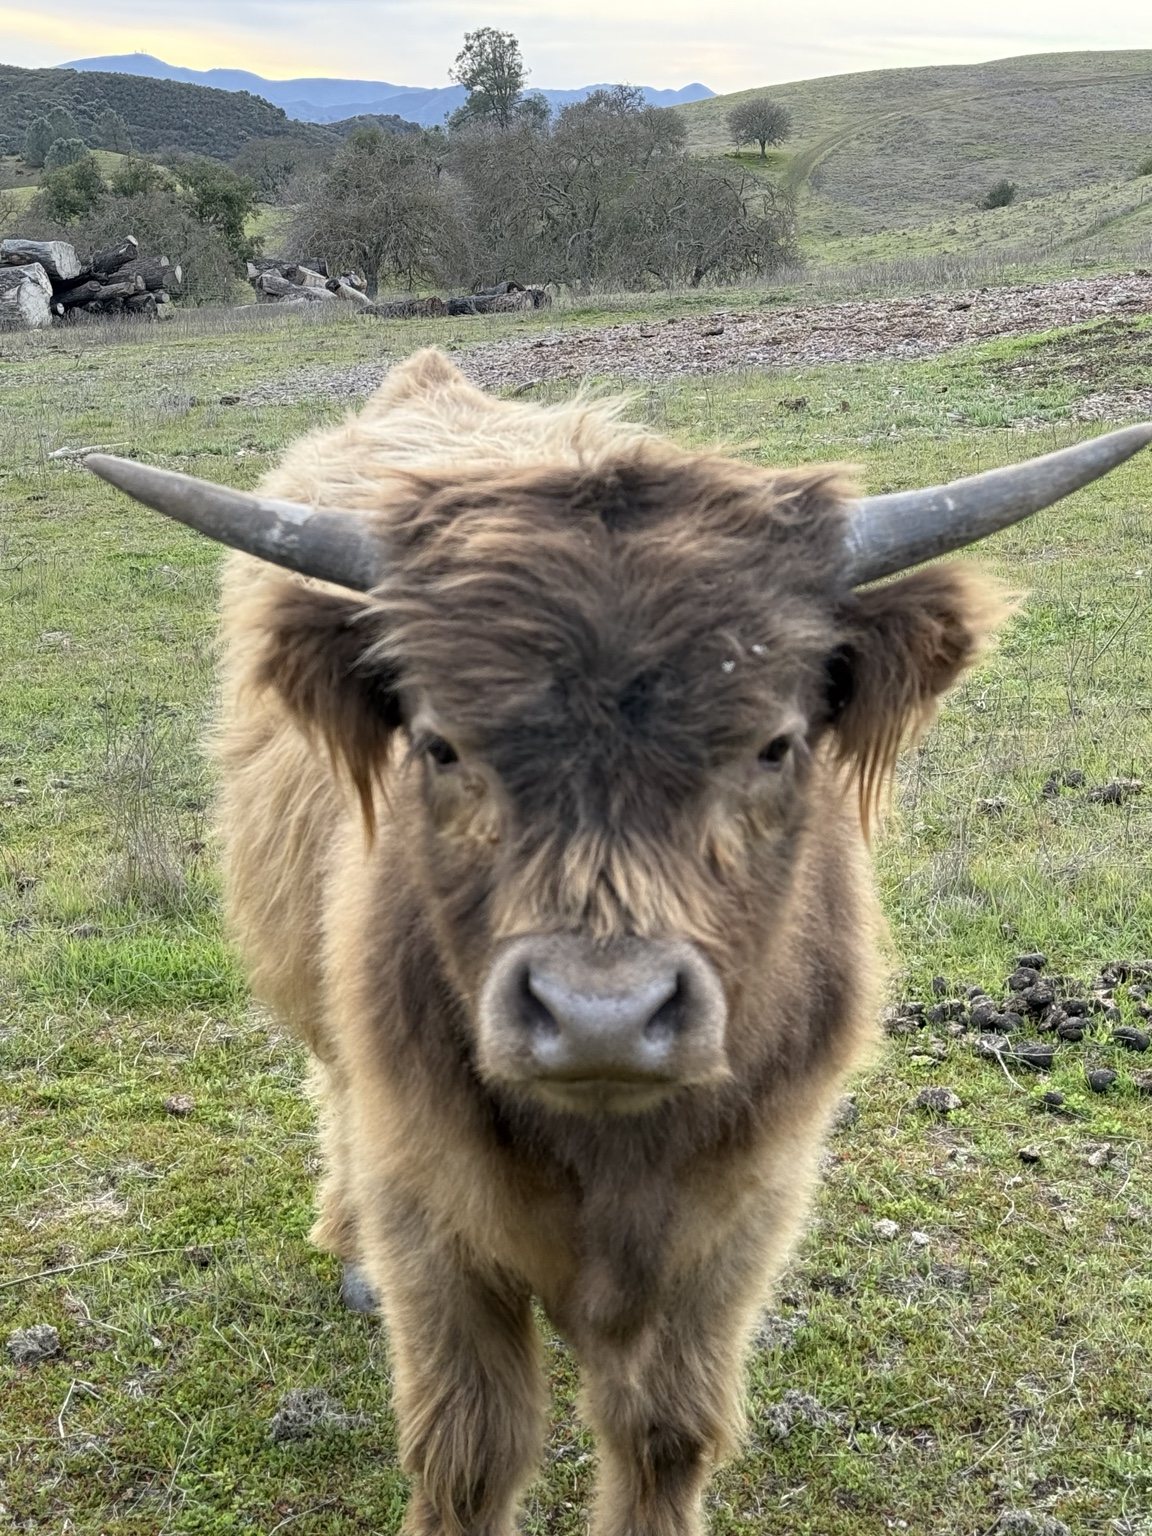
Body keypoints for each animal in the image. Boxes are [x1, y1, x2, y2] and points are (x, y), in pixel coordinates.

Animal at [87, 353, 1150, 1536]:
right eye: (441, 744)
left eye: (773, 744)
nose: (602, 1017)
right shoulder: (428, 1206)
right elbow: (467, 1447)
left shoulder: (743, 1215)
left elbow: (665, 1431)